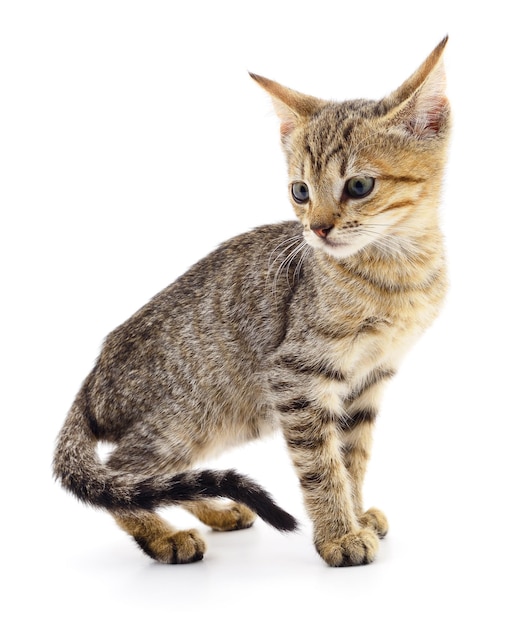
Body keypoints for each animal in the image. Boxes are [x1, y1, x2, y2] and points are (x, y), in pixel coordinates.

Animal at [52, 37, 450, 564]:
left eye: (359, 186)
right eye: (300, 191)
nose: (317, 229)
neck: (398, 272)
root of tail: (93, 377)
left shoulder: (368, 380)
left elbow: (352, 458)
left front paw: (355, 513)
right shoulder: (296, 376)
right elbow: (322, 464)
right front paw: (339, 534)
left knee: (167, 480)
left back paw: (217, 511)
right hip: (186, 416)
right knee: (121, 476)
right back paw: (163, 537)